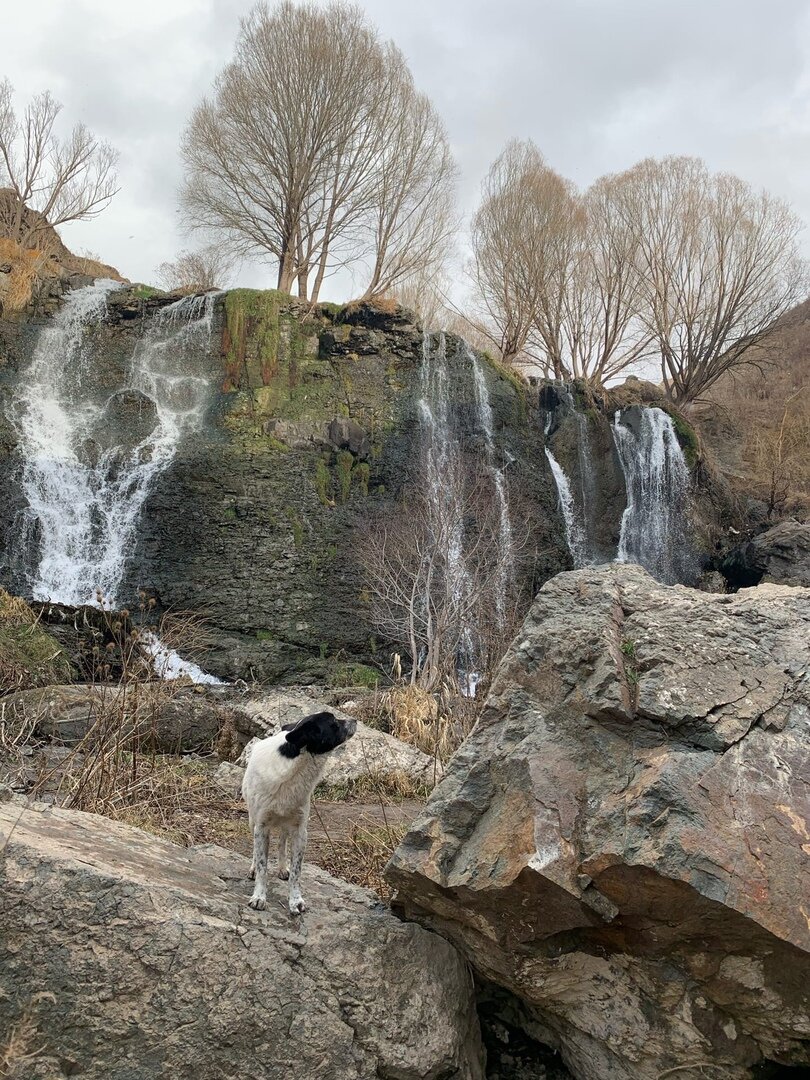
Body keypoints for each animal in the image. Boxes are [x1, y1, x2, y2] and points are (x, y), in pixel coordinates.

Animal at [240, 712, 354, 915]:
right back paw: (252, 868)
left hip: (288, 825)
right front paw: (259, 897)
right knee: (256, 850)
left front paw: (295, 900)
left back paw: (282, 868)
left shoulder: (300, 830)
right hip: (252, 820)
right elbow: (262, 866)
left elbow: (296, 871)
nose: (355, 721)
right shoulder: (261, 826)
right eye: (334, 723)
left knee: (282, 843)